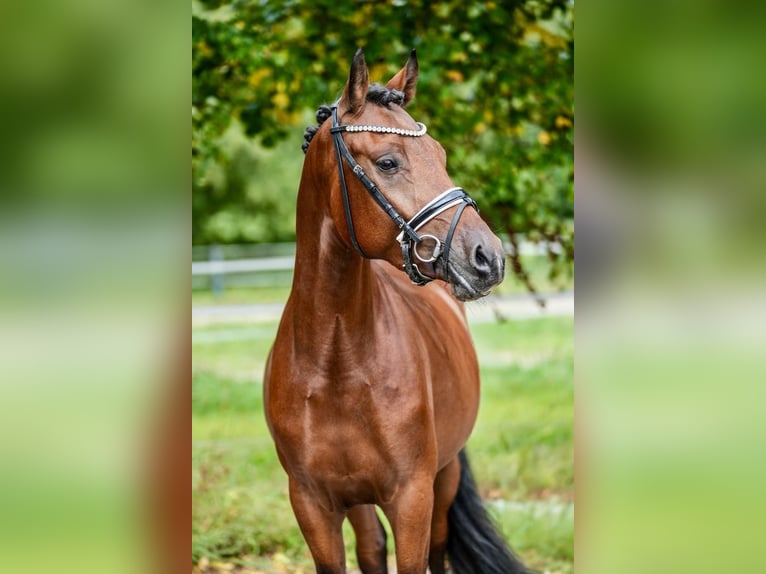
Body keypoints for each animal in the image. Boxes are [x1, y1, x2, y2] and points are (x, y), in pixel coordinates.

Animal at [264, 49, 529, 574]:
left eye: (442, 157)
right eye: (388, 162)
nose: (488, 257)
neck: (337, 365)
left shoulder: (412, 498)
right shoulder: (313, 505)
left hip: (443, 479)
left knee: (438, 548)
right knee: (371, 548)